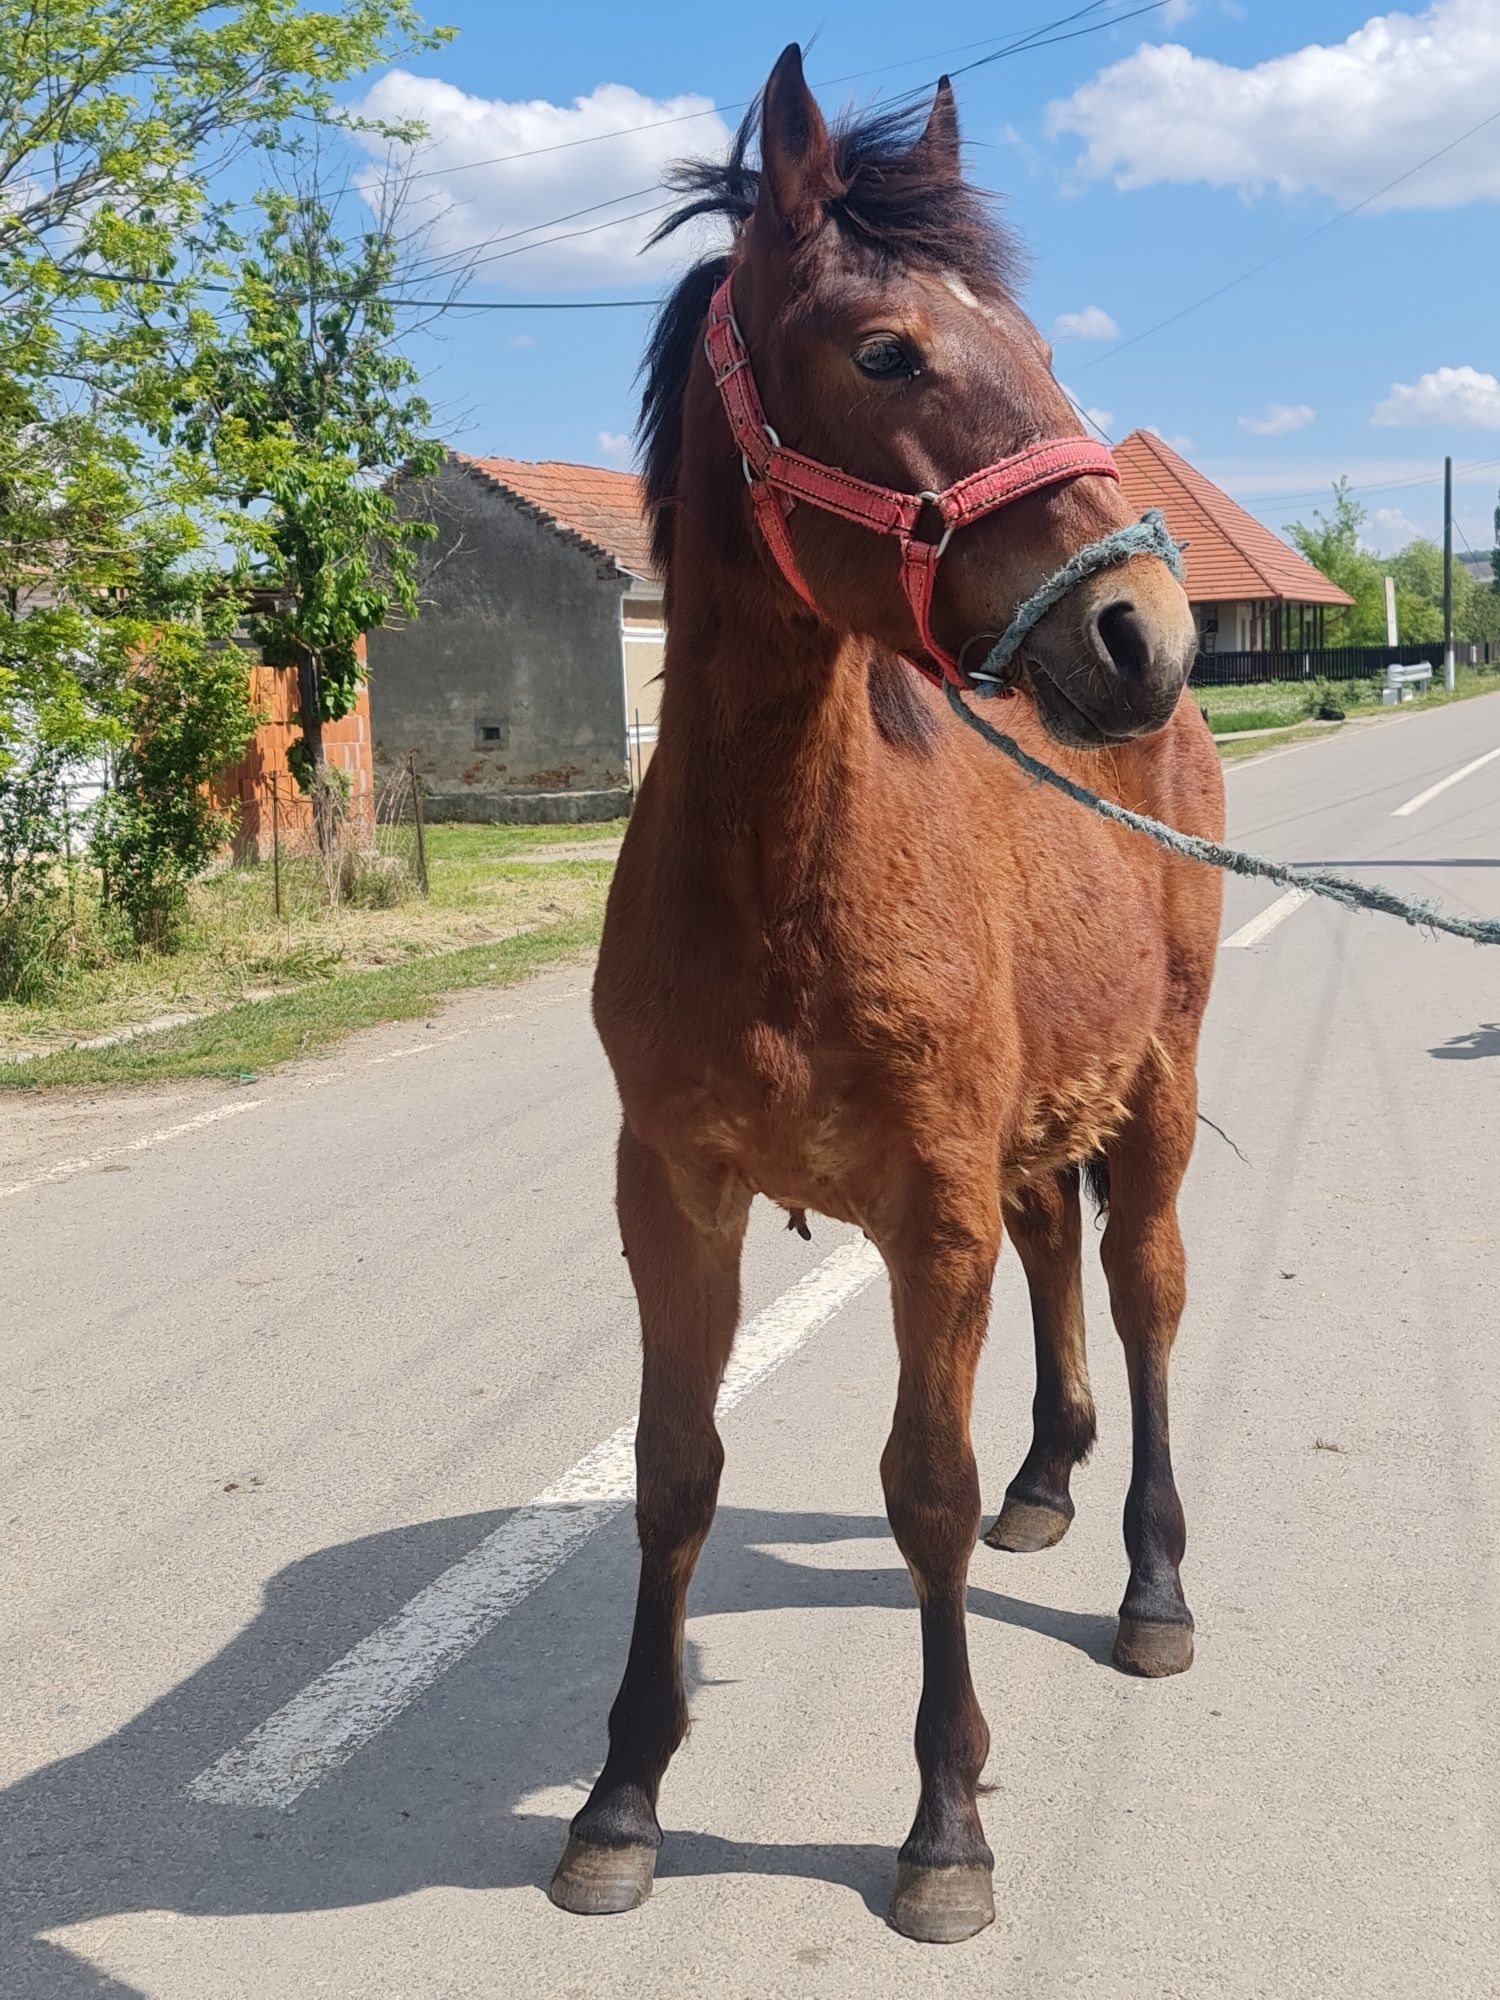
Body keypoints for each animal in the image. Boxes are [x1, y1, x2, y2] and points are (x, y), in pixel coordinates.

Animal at [548, 47, 1224, 1944]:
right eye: (884, 354)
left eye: (1044, 345)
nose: (1145, 630)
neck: (776, 867)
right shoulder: (673, 1194)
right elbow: (674, 1472)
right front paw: (624, 1793)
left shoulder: (930, 1204)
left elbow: (920, 1488)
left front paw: (945, 1824)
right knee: (1066, 1264)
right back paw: (1055, 1481)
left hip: (1159, 1083)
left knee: (1145, 1294)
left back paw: (1151, 1583)